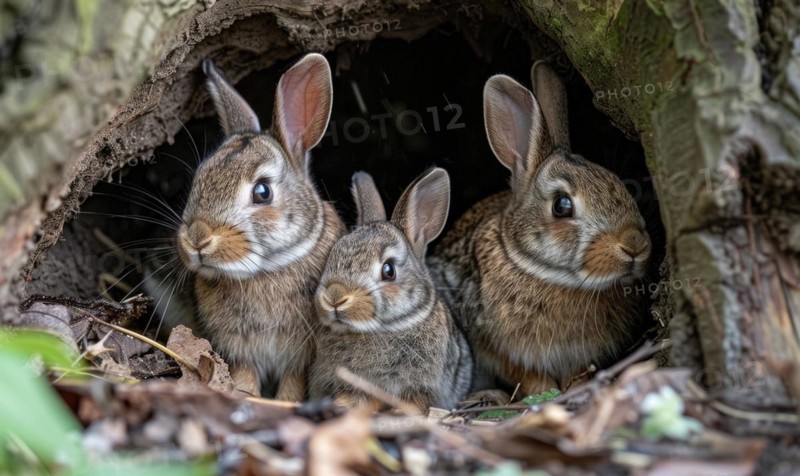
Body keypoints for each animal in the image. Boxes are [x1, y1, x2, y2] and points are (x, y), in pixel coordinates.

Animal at [175, 54, 345, 400]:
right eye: (200, 177)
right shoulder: (240, 349)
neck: (267, 271)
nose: (198, 239)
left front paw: (286, 403)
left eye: (263, 191)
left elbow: (294, 383)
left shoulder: (300, 354)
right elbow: (244, 376)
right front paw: (244, 395)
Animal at [429, 63, 651, 396]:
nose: (634, 245)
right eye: (562, 205)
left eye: (618, 184)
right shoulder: (499, 349)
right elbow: (527, 375)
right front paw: (542, 393)